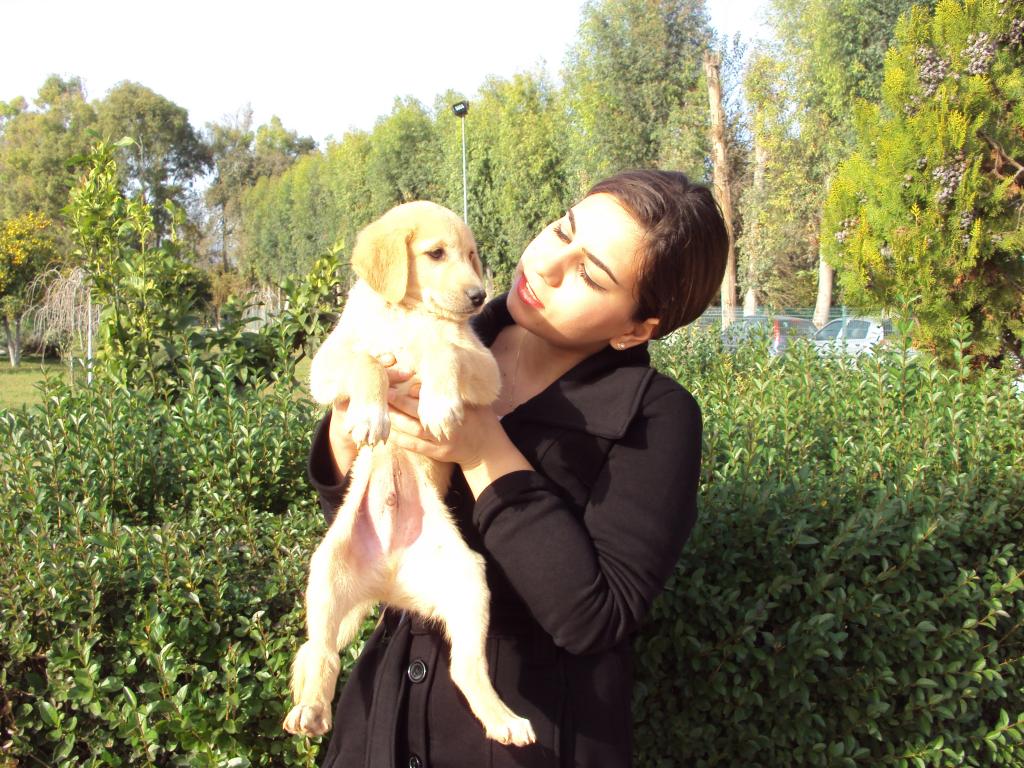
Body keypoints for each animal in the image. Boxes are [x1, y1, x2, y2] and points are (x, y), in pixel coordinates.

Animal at [284, 201, 536, 748]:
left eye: (471, 254)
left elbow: (444, 350)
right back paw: (310, 710)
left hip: (469, 579)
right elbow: (367, 360)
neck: (409, 316)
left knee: (466, 667)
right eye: (436, 253)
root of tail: (390, 582)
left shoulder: (483, 366)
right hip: (325, 576)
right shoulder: (328, 363)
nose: (479, 296)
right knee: (322, 652)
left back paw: (504, 721)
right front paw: (370, 414)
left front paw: (437, 402)